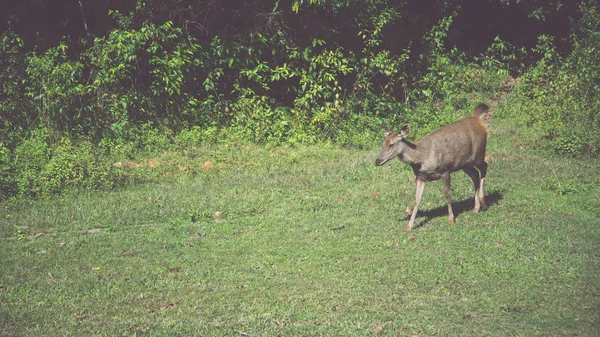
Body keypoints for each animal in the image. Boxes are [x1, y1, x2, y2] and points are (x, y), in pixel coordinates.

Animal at [378, 103, 490, 231]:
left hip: (478, 153)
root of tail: (478, 120)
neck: (421, 159)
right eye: (383, 144)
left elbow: (447, 194)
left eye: (391, 144)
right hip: (464, 164)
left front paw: (451, 219)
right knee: (475, 175)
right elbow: (417, 200)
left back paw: (483, 201)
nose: (377, 161)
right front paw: (409, 226)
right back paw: (476, 208)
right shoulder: (420, 177)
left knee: (485, 166)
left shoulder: (445, 170)